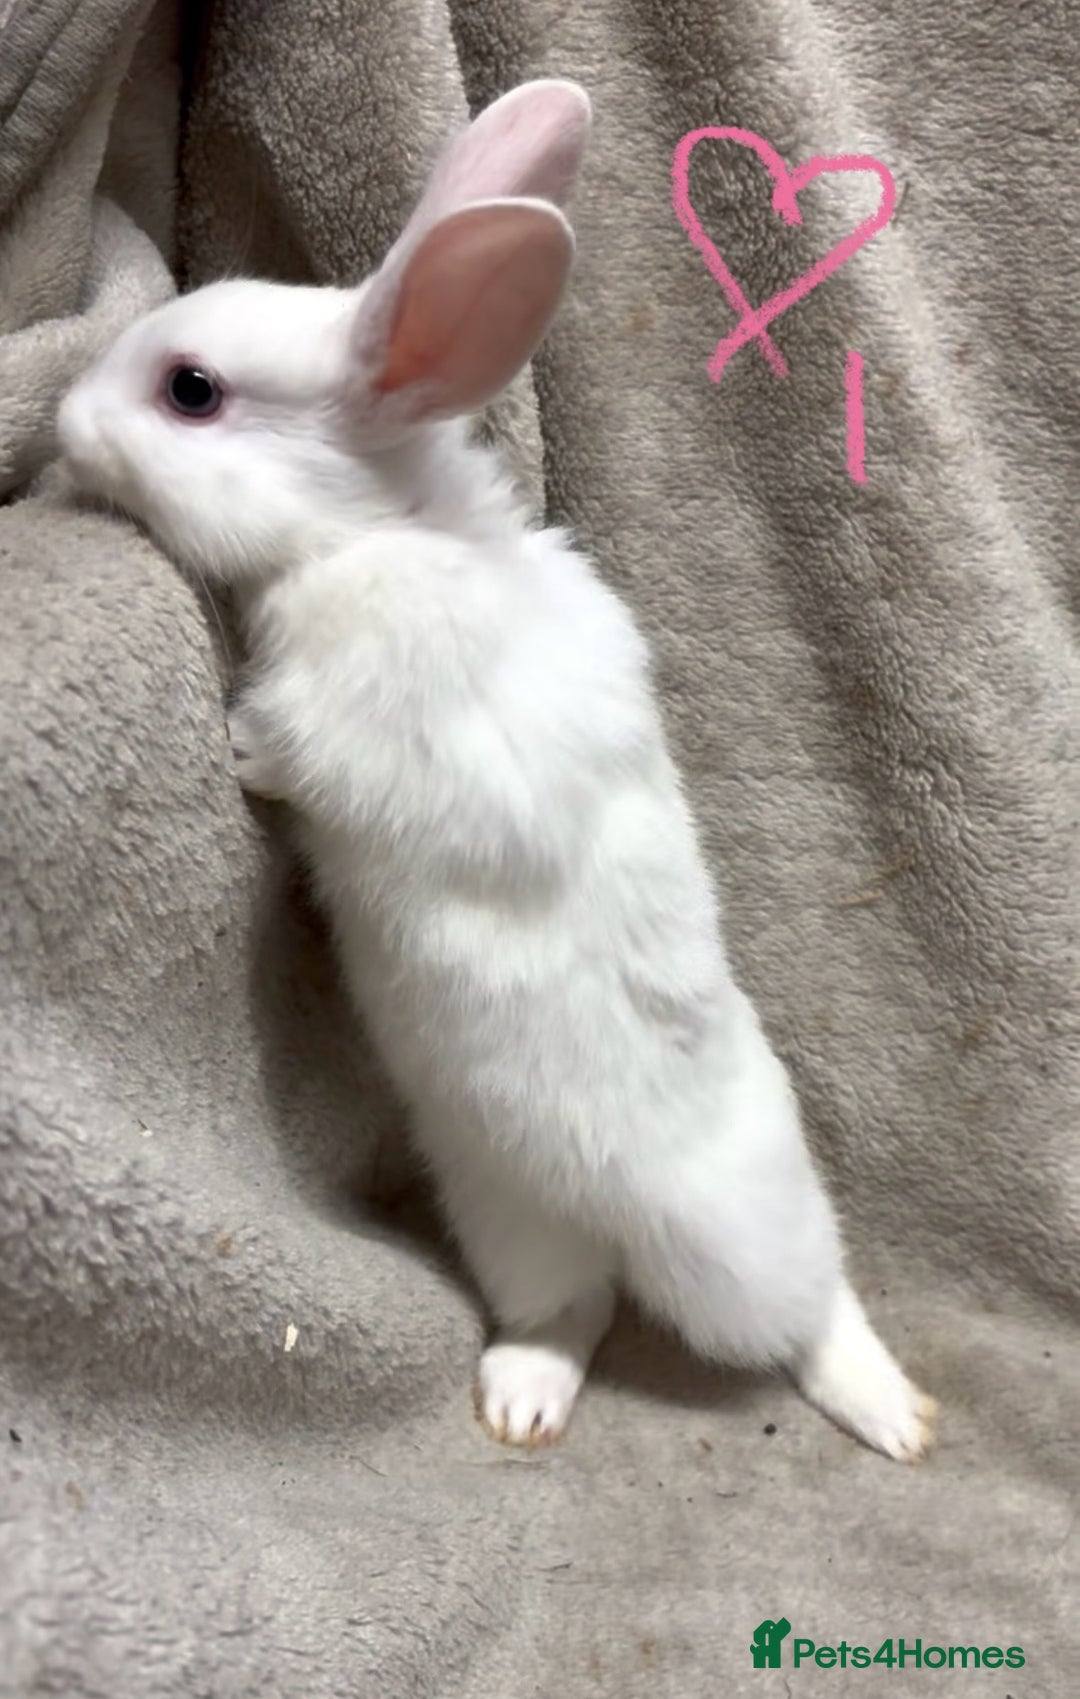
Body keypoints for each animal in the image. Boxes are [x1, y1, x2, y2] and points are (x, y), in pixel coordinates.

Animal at [57, 79, 936, 1462]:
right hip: (506, 1213)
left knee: (809, 1307)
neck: (372, 530)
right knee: (570, 1312)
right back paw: (521, 1401)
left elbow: (323, 761)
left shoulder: (407, 730)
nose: (58, 422)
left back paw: (891, 1414)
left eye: (191, 391)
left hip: (743, 1254)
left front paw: (244, 747)